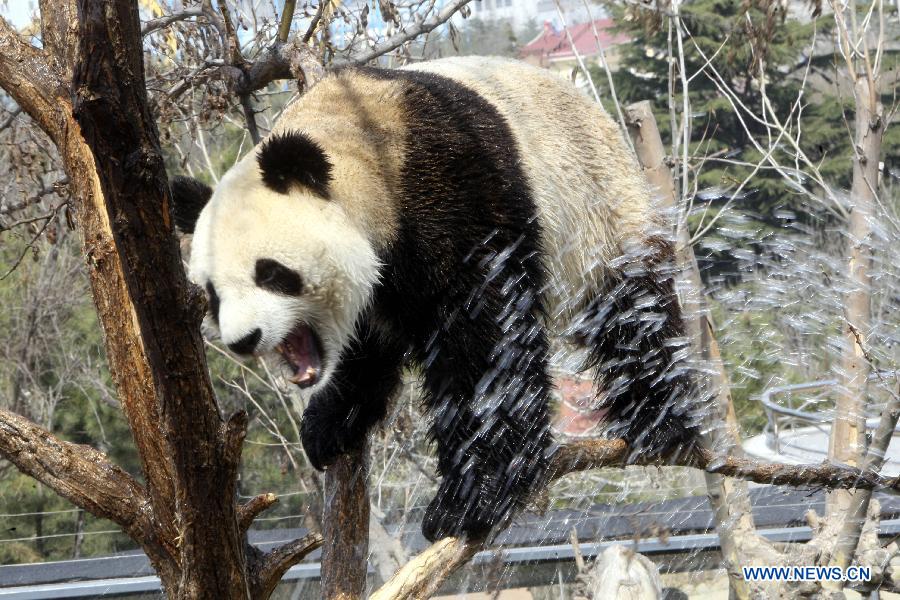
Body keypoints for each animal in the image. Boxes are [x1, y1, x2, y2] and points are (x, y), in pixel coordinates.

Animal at [172, 57, 700, 544]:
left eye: (271, 272)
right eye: (212, 293)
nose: (244, 340)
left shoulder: (450, 190)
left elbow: (483, 340)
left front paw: (471, 499)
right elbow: (366, 347)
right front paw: (328, 423)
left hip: (598, 207)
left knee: (631, 312)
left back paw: (661, 423)